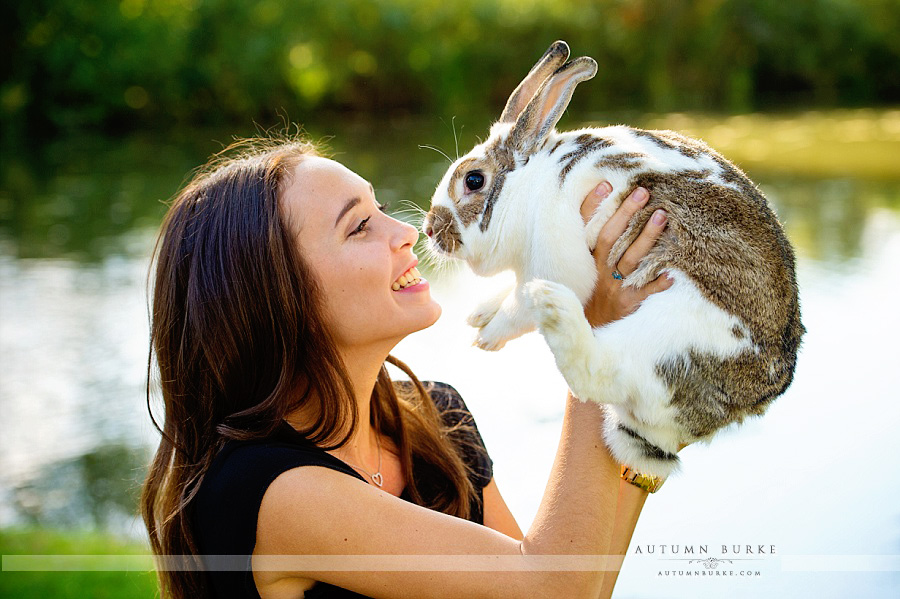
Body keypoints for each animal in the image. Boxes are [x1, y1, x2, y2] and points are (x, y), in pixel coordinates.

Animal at [424, 39, 808, 480]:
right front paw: (480, 313)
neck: (532, 186)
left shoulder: (553, 260)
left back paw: (554, 307)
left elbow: (519, 306)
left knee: (599, 371)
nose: (429, 229)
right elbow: (507, 292)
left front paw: (488, 335)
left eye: (474, 180)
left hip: (669, 332)